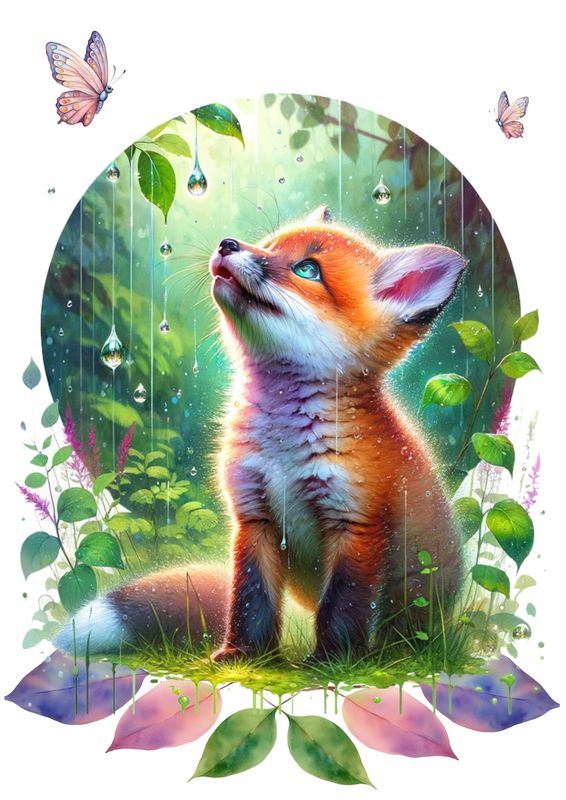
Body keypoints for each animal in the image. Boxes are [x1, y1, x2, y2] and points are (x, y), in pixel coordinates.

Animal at [57, 207, 466, 660]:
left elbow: (343, 605)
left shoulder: (355, 523)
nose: (227, 244)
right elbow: (251, 598)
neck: (282, 451)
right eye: (268, 246)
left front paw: (332, 662)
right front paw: (241, 655)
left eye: (307, 269)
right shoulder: (254, 516)